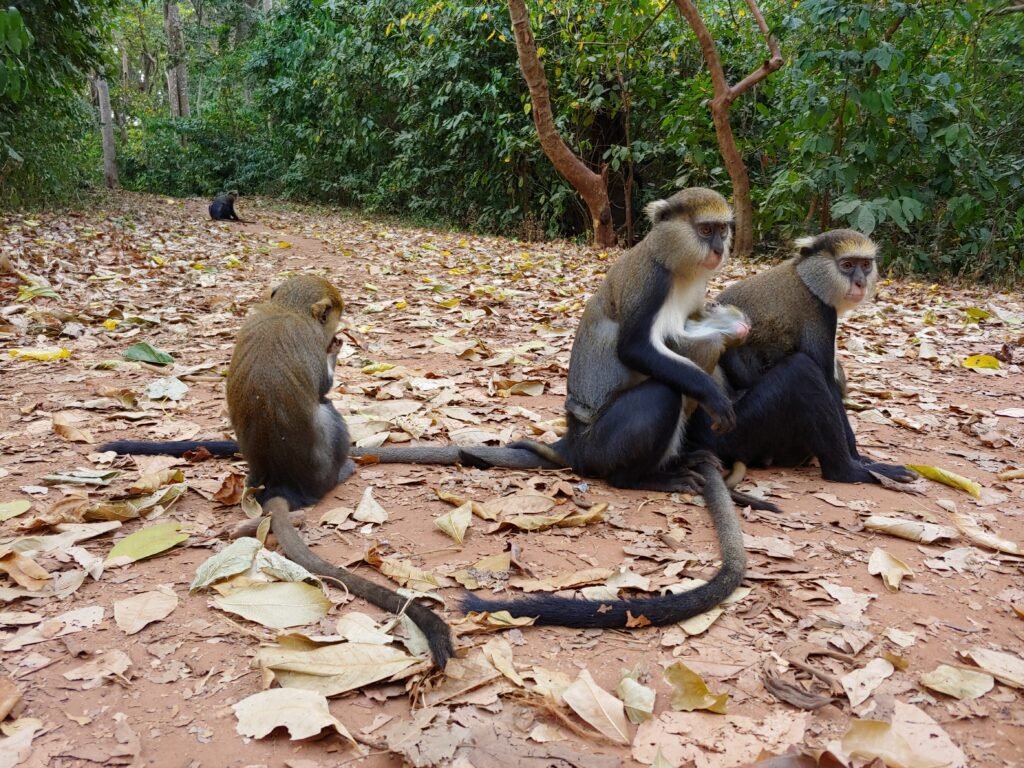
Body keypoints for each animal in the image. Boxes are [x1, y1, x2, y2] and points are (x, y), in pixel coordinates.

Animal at [101, 275, 454, 668]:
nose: (336, 332)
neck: (287, 308)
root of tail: (282, 484)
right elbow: (324, 388)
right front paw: (335, 349)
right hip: (326, 463)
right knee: (327, 408)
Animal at [685, 229, 917, 485]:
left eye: (865, 265)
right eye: (847, 265)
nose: (860, 282)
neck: (807, 279)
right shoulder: (819, 315)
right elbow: (827, 384)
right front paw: (858, 459)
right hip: (732, 431)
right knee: (801, 370)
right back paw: (848, 471)